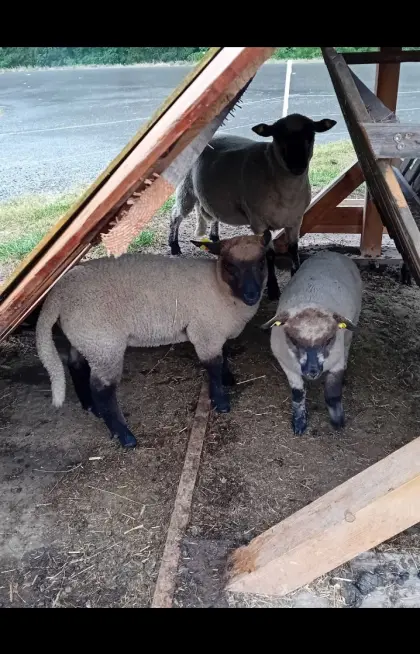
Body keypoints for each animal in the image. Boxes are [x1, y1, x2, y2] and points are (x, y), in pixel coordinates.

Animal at [36, 231, 272, 449]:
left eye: (262, 262)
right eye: (230, 266)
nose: (252, 295)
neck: (219, 287)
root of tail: (57, 295)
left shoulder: (218, 332)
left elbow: (225, 354)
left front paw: (228, 378)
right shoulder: (206, 332)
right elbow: (213, 366)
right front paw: (221, 402)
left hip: (86, 339)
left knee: (76, 365)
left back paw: (90, 407)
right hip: (104, 344)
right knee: (102, 389)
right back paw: (124, 436)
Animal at [168, 113, 337, 300]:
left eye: (310, 135)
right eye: (278, 136)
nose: (297, 167)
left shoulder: (295, 219)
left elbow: (293, 249)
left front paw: (296, 274)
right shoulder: (258, 223)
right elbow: (268, 255)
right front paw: (273, 290)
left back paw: (215, 238)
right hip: (186, 189)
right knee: (175, 215)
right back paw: (174, 246)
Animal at [262, 251, 362, 435]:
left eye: (329, 339)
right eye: (293, 340)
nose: (312, 371)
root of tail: (332, 252)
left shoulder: (335, 362)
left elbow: (332, 394)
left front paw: (338, 420)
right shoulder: (286, 364)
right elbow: (298, 394)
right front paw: (299, 422)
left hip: (352, 324)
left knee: (347, 345)